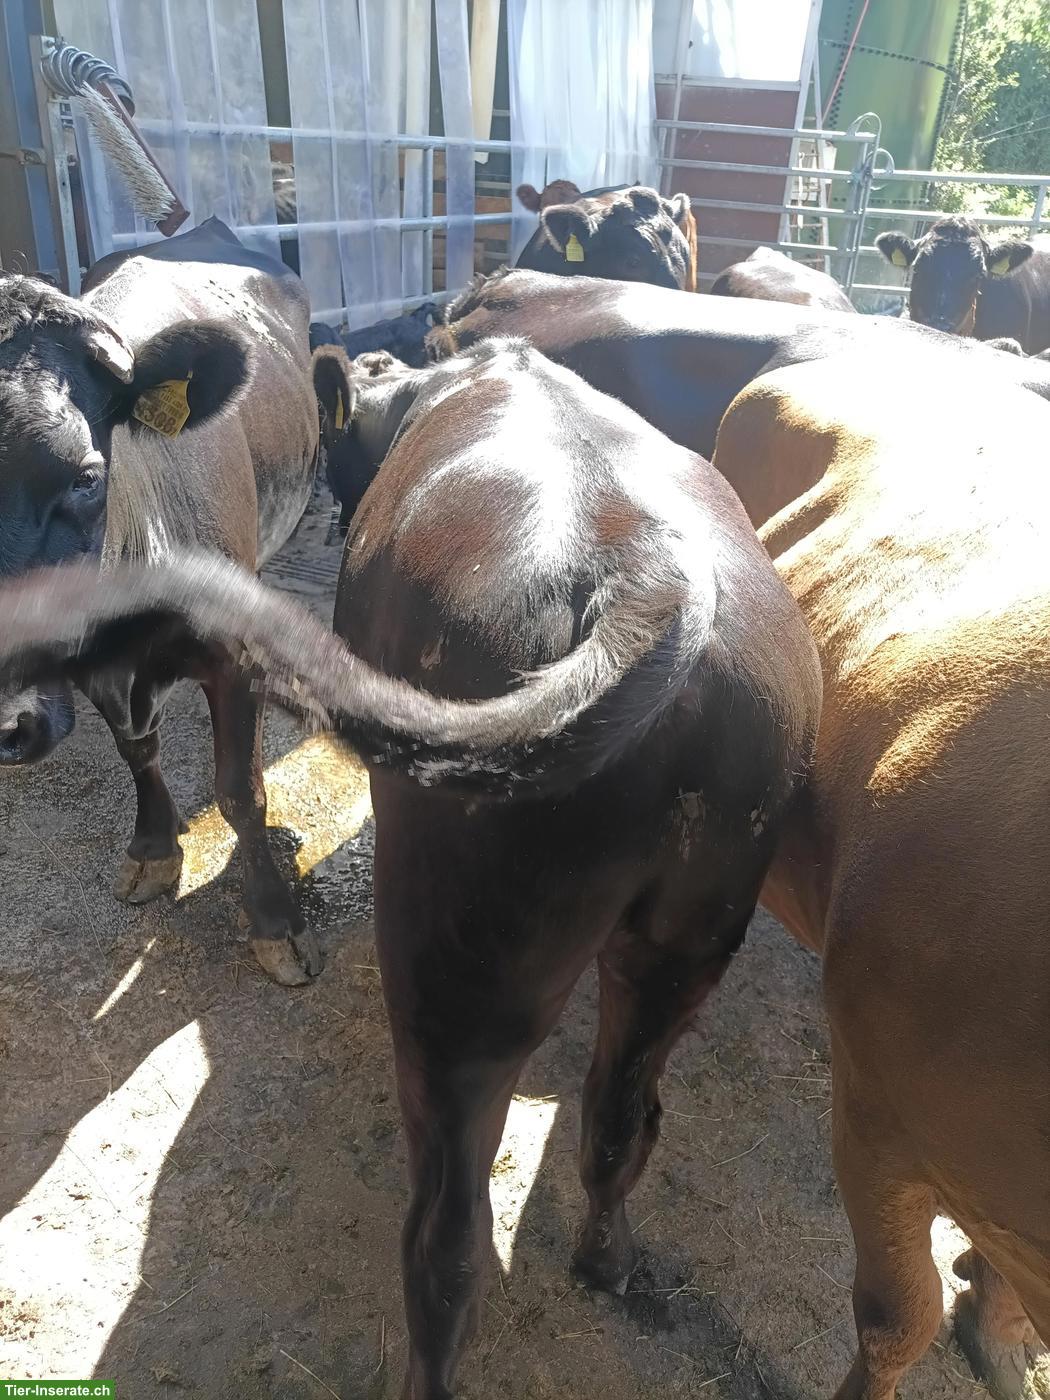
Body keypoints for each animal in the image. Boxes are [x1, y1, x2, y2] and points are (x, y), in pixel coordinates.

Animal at [0, 217, 321, 986]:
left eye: (86, 476)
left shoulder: (235, 657)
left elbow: (239, 789)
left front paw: (276, 921)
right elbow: (134, 749)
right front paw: (153, 850)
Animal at [2, 337, 824, 1400]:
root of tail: (653, 586)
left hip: (458, 972)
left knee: (446, 1239)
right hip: (689, 935)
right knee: (620, 1121)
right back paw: (607, 1262)